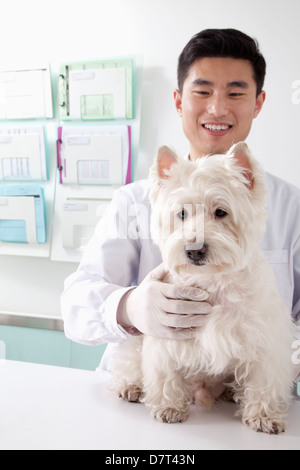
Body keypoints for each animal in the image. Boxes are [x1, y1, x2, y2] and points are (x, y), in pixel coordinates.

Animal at [111, 142, 294, 434]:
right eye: (182, 213)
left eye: (220, 212)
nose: (194, 250)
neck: (212, 281)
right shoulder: (166, 336)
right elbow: (166, 373)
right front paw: (169, 407)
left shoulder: (265, 341)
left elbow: (264, 380)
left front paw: (264, 416)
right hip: (137, 335)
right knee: (129, 358)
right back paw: (132, 386)